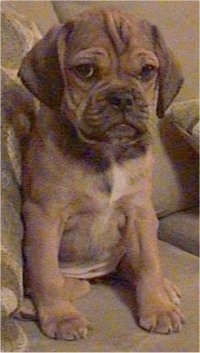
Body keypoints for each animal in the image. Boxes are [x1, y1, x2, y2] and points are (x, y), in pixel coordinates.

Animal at [18, 8, 184, 338]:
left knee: (134, 267)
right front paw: (62, 317)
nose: (122, 98)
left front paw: (157, 307)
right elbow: (46, 272)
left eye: (147, 71)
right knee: (68, 283)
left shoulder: (140, 213)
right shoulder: (44, 215)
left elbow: (149, 263)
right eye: (86, 71)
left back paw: (165, 288)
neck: (108, 152)